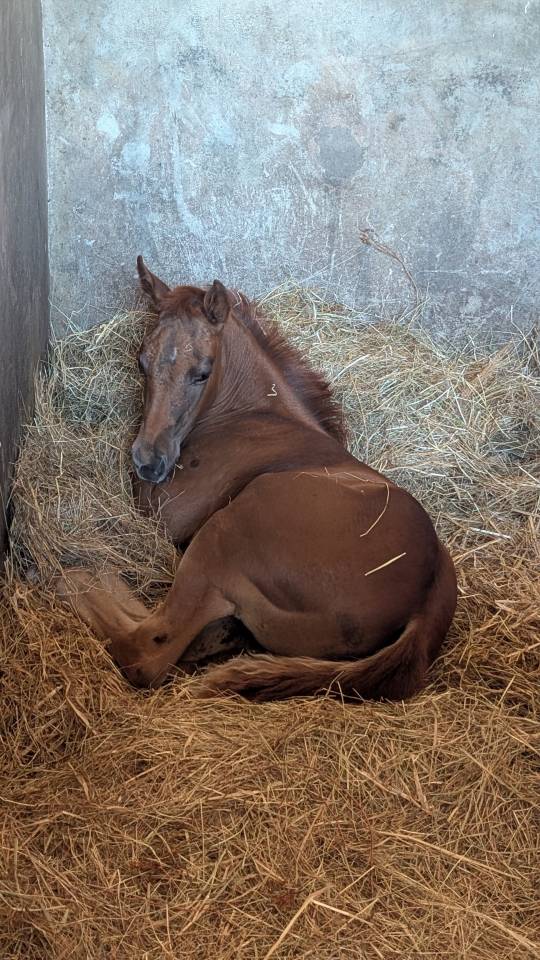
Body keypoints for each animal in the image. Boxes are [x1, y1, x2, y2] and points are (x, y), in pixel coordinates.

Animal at [55, 256, 457, 702]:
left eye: (202, 372)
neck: (246, 416)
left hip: (223, 535)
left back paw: (78, 575)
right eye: (142, 361)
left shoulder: (165, 516)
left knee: (146, 651)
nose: (149, 462)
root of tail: (429, 595)